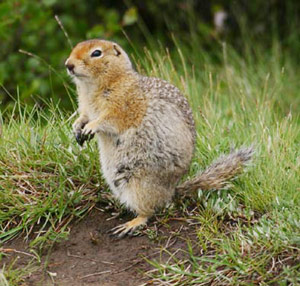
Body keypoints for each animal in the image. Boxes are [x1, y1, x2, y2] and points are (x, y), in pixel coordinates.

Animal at [65, 39, 253, 238]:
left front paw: (92, 127)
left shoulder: (124, 104)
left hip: (141, 185)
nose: (68, 65)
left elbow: (110, 119)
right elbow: (83, 116)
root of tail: (172, 192)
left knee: (149, 211)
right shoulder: (85, 107)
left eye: (96, 53)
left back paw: (132, 224)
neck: (92, 87)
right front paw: (77, 128)